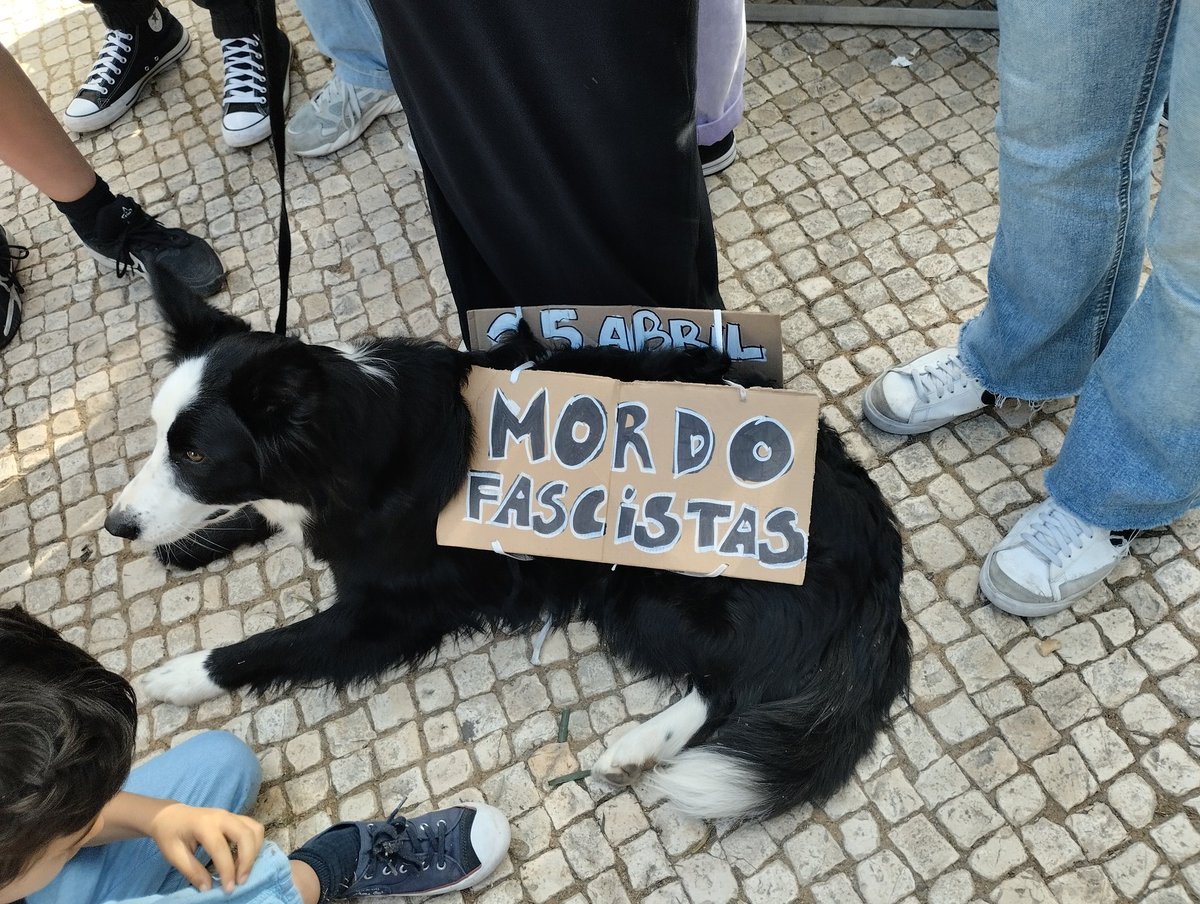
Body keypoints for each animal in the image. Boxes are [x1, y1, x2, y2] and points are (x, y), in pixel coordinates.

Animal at [110, 273, 907, 816]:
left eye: (198, 455)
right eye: (159, 438)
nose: (116, 525)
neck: (359, 440)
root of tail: (872, 538)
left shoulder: (385, 618)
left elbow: (268, 646)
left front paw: (182, 675)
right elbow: (258, 517)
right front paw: (191, 544)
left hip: (649, 591)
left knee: (737, 685)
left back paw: (636, 748)